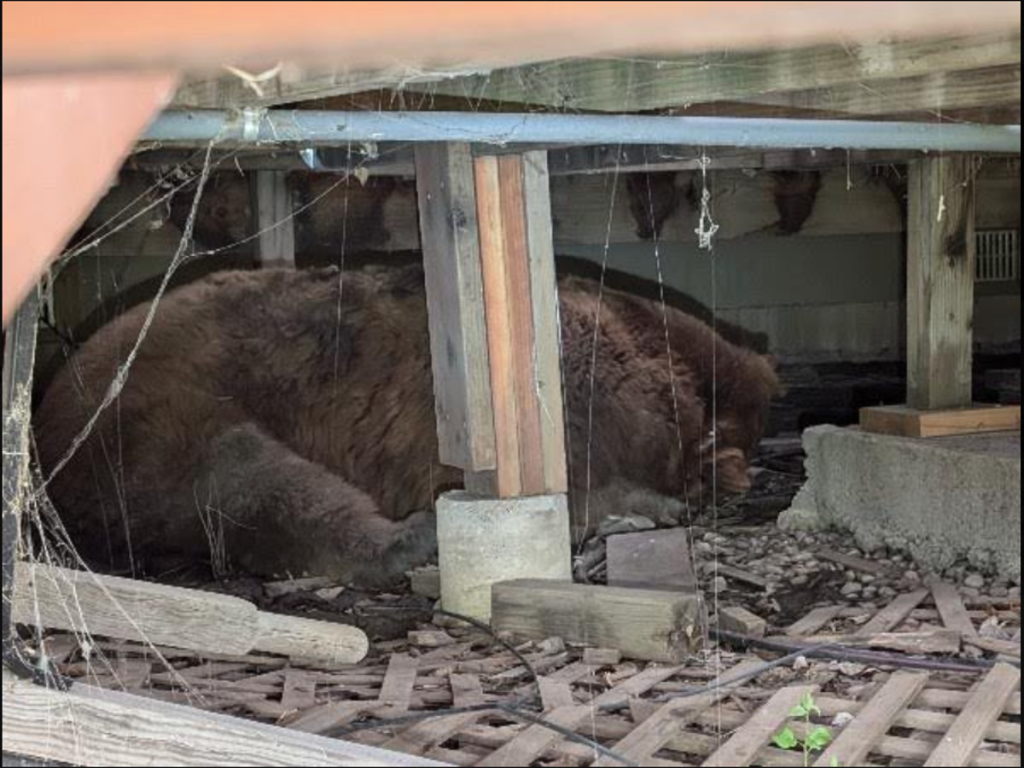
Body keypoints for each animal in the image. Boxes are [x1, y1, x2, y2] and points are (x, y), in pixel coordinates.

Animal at [33, 263, 779, 587]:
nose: (749, 466)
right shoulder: (577, 396)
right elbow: (585, 482)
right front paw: (648, 503)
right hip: (163, 410)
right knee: (252, 480)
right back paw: (411, 538)